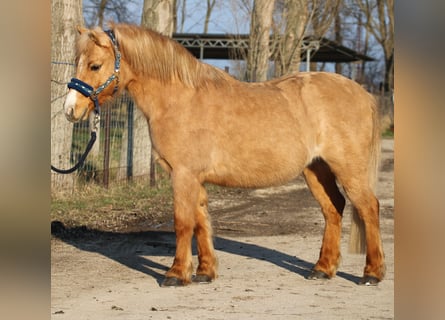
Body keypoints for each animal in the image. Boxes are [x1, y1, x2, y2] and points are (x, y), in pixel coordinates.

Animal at [63, 23, 386, 288]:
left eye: (94, 65)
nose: (70, 110)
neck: (180, 99)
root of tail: (362, 93)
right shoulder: (193, 178)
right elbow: (200, 220)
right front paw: (205, 272)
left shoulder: (183, 174)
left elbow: (183, 222)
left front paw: (176, 274)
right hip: (316, 169)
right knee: (333, 208)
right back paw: (322, 269)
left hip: (348, 168)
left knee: (368, 208)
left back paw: (372, 273)